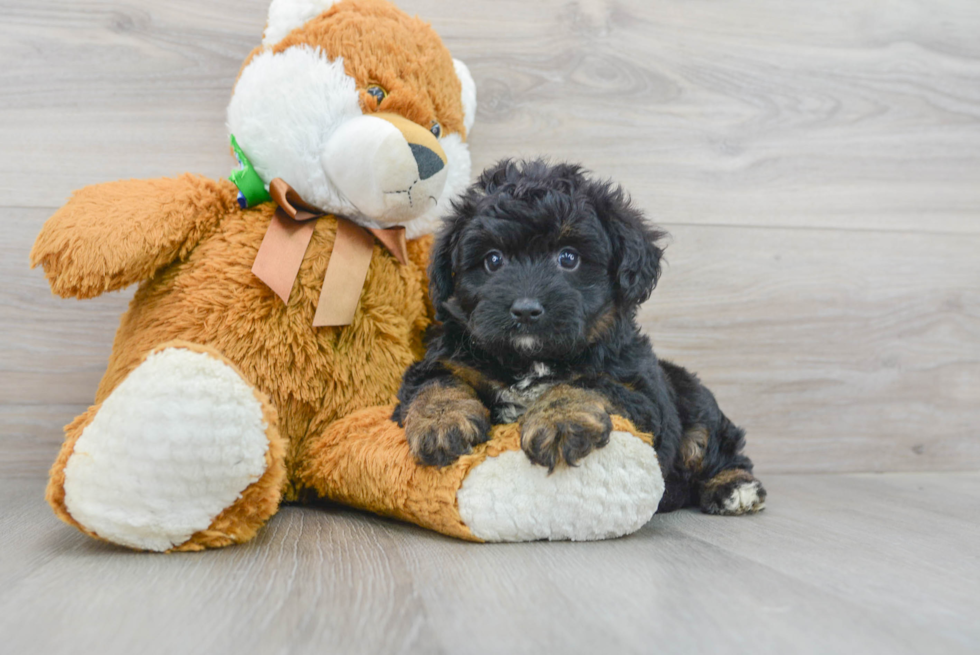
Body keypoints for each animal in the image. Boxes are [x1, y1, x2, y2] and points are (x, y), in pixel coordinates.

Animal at [390, 160, 764, 516]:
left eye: (568, 258)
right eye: (493, 260)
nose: (526, 310)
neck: (531, 361)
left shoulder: (643, 398)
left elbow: (587, 382)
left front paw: (560, 419)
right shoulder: (444, 359)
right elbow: (437, 380)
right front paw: (442, 422)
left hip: (695, 402)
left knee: (716, 446)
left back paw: (735, 487)